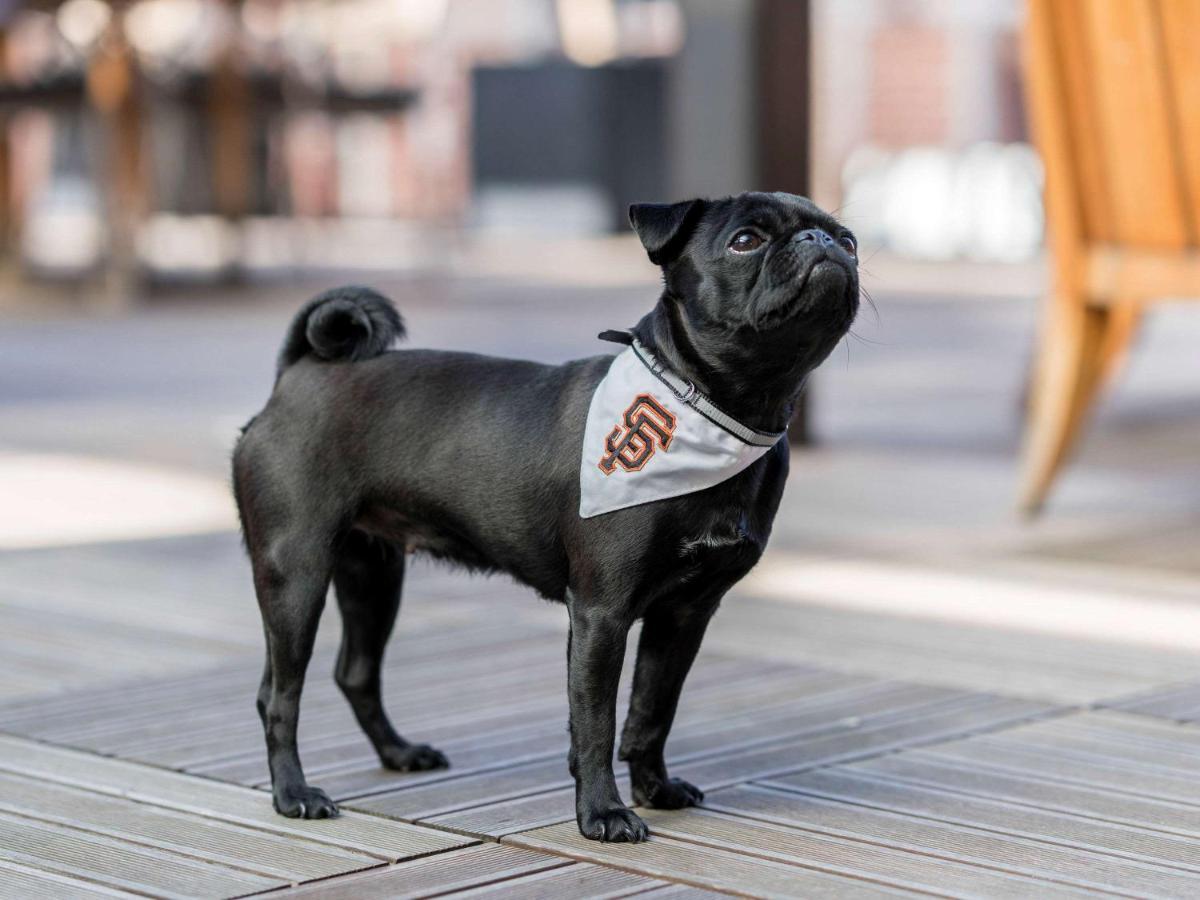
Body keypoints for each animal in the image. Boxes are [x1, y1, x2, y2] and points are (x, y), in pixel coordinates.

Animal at [231, 192, 854, 844]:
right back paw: (294, 794)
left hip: (372, 575)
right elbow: (597, 722)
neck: (713, 407)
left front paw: (654, 789)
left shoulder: (683, 615)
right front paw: (604, 812)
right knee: (279, 694)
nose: (821, 241)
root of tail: (298, 374)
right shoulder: (603, 614)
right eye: (745, 241)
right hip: (296, 573)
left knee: (356, 672)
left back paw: (399, 753)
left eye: (850, 240)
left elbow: (652, 710)